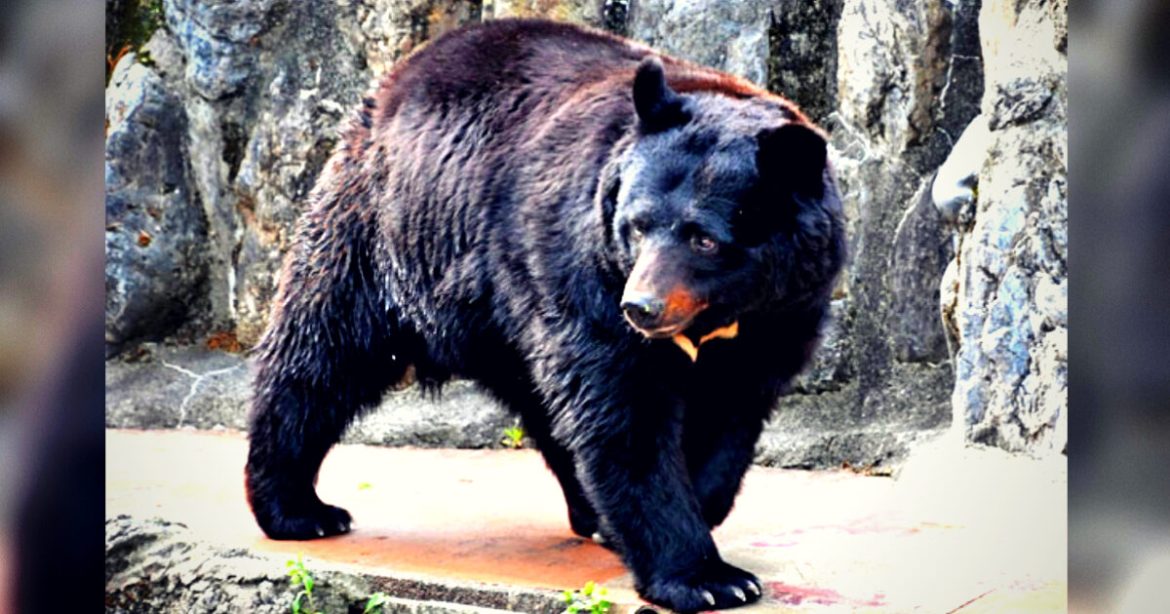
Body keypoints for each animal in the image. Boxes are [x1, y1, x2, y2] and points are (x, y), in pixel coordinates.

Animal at [245, 19, 845, 613]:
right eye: (638, 225)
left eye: (704, 238)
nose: (641, 307)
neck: (724, 310)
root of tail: (397, 78)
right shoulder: (585, 274)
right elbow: (627, 414)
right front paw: (706, 577)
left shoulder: (786, 308)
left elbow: (732, 408)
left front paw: (702, 504)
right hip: (385, 236)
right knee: (324, 353)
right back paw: (299, 508)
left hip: (497, 310)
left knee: (542, 403)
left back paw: (591, 511)